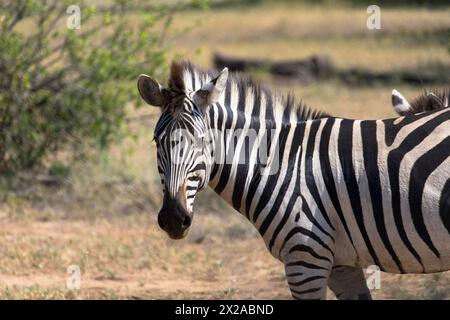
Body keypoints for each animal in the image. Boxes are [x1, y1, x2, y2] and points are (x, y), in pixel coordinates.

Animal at [137, 60, 450, 300]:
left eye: (202, 141)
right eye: (156, 141)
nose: (173, 219)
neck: (282, 162)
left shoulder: (304, 259)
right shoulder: (341, 265)